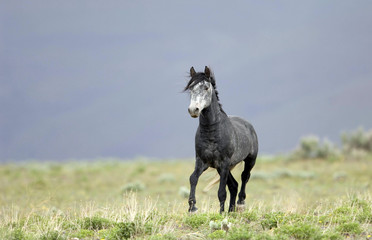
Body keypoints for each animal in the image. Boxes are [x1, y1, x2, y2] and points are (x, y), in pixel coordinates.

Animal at [184, 66, 258, 214]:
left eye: (206, 88)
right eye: (191, 88)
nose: (193, 110)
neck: (212, 133)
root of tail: (248, 125)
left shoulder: (223, 162)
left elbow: (221, 192)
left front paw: (220, 213)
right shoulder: (202, 161)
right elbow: (193, 178)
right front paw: (192, 207)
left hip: (249, 160)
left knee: (244, 177)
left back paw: (240, 205)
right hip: (223, 167)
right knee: (234, 185)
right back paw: (231, 210)